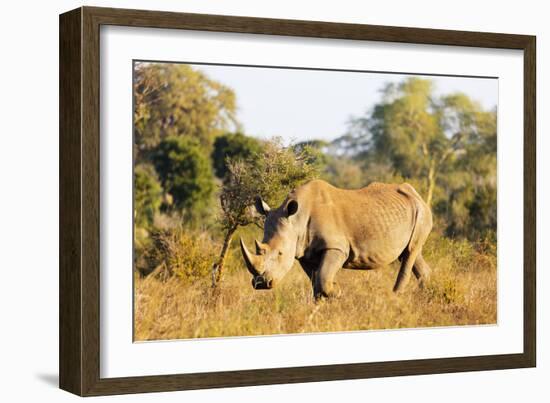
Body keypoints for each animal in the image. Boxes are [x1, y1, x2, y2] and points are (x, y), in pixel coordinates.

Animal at [242, 180, 436, 300]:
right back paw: (425, 296)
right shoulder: (304, 252)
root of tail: (416, 194)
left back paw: (395, 298)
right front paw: (321, 304)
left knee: (410, 252)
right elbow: (315, 282)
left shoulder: (336, 247)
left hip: (422, 212)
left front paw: (338, 291)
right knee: (410, 254)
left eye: (280, 253)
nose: (261, 284)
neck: (296, 219)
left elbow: (322, 278)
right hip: (412, 213)